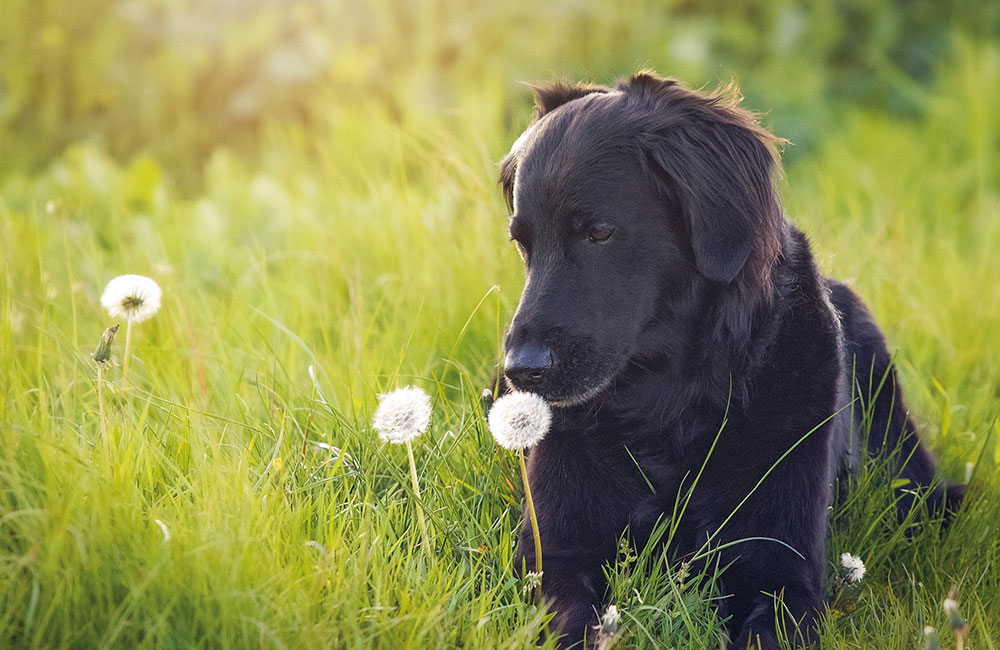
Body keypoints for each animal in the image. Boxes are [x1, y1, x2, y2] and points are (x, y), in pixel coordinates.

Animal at [498, 73, 960, 644]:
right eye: (523, 242)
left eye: (598, 232)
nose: (520, 371)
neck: (668, 409)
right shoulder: (556, 556)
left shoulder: (782, 575)